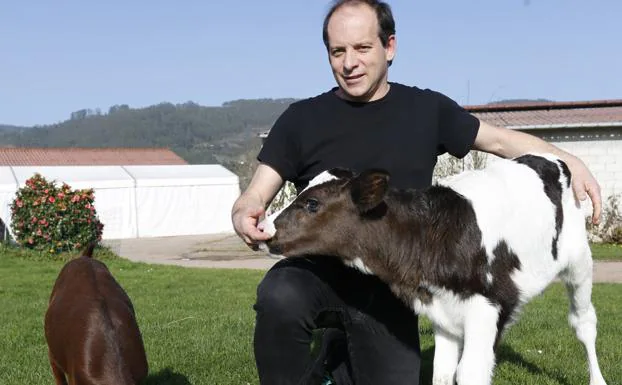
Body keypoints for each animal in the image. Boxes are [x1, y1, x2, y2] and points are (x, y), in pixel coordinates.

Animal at [258, 153, 608, 384]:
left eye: (312, 204)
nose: (263, 228)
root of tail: (551, 158)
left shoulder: (487, 304)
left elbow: (469, 374)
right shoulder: (443, 308)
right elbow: (442, 373)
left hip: (579, 262)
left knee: (584, 323)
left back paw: (597, 379)